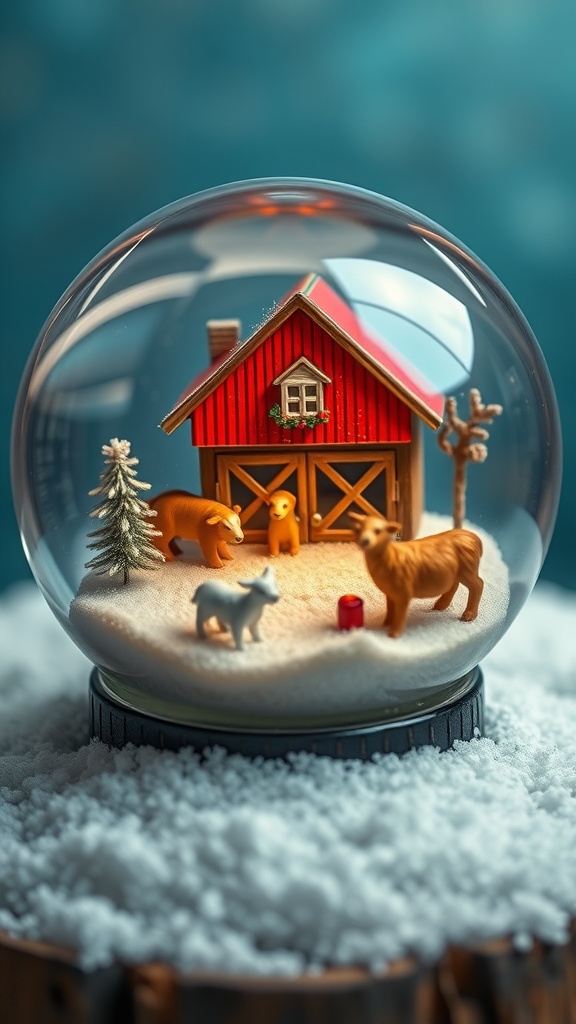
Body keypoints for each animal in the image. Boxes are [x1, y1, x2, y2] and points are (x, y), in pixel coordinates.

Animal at [348, 516, 481, 634]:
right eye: (357, 529)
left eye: (378, 531)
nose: (364, 541)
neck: (390, 556)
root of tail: (473, 536)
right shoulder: (390, 593)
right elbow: (390, 610)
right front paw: (386, 624)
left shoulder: (404, 593)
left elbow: (400, 614)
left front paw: (394, 633)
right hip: (454, 572)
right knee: (454, 585)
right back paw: (440, 605)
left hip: (467, 569)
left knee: (478, 585)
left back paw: (469, 615)